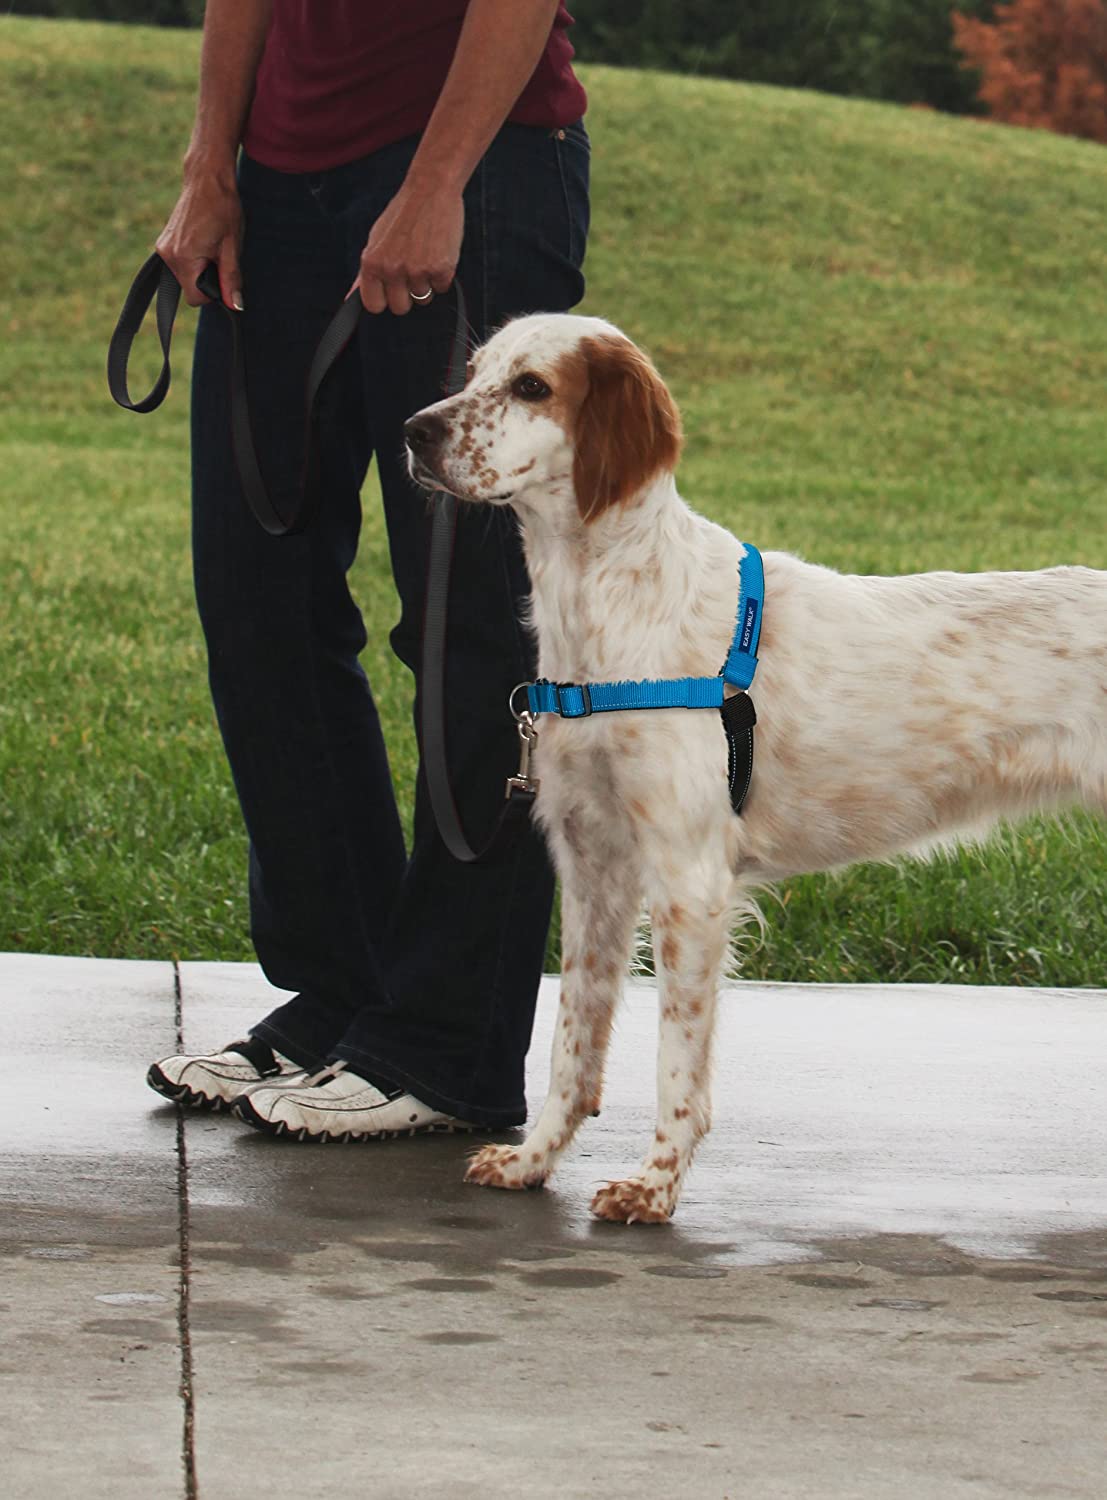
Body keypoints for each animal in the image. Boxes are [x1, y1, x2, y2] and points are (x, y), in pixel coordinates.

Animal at [402, 313, 1104, 1218]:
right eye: (474, 371)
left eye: (531, 386)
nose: (413, 431)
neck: (610, 604)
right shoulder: (594, 867)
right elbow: (570, 1041)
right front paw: (533, 1160)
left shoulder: (688, 880)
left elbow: (674, 1062)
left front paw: (653, 1187)